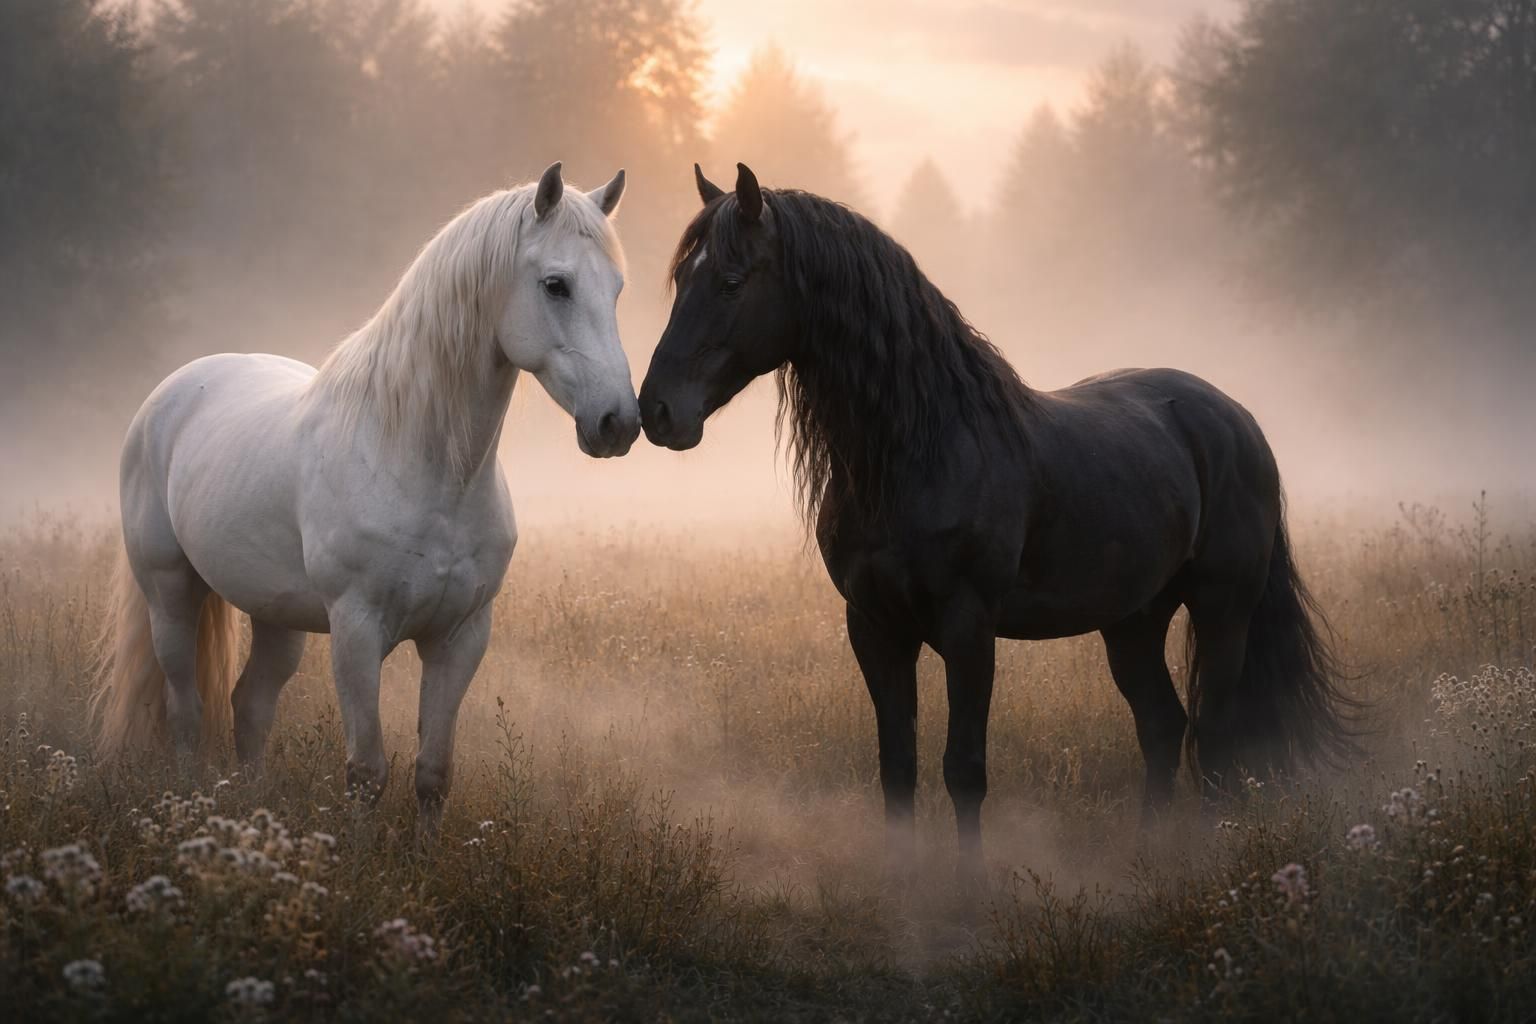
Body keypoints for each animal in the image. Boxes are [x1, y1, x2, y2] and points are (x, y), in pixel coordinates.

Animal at [93, 162, 638, 833]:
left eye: (615, 289)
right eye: (556, 286)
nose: (618, 423)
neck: (425, 469)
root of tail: (168, 395)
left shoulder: (460, 638)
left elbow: (433, 773)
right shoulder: (357, 631)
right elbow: (366, 773)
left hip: (277, 617)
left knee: (250, 705)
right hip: (170, 594)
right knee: (186, 708)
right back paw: (192, 801)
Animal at [638, 162, 1356, 873]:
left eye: (731, 281)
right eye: (681, 280)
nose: (657, 411)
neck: (921, 450)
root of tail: (1234, 417)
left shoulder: (968, 628)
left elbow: (964, 769)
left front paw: (968, 882)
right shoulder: (873, 627)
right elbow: (897, 766)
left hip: (1221, 608)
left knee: (1214, 737)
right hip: (1133, 619)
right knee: (1162, 725)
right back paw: (1149, 853)